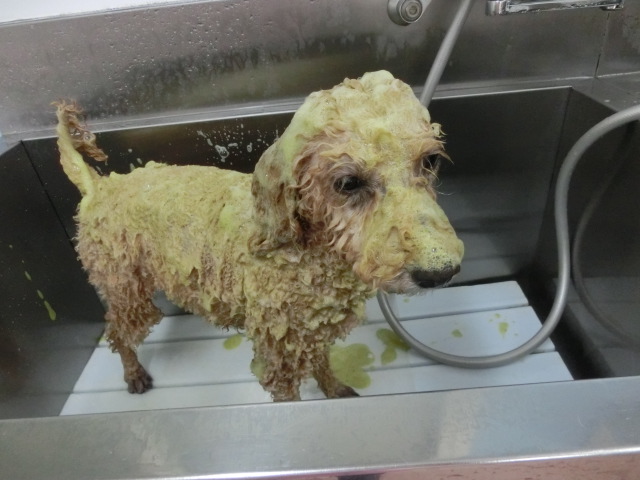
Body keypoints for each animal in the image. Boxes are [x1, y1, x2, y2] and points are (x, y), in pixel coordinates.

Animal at [55, 71, 464, 401]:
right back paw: (134, 373)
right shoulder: (278, 357)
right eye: (348, 183)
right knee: (118, 333)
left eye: (430, 161)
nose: (440, 273)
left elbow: (322, 363)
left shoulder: (311, 330)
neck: (308, 258)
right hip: (126, 289)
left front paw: (333, 389)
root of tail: (100, 187)